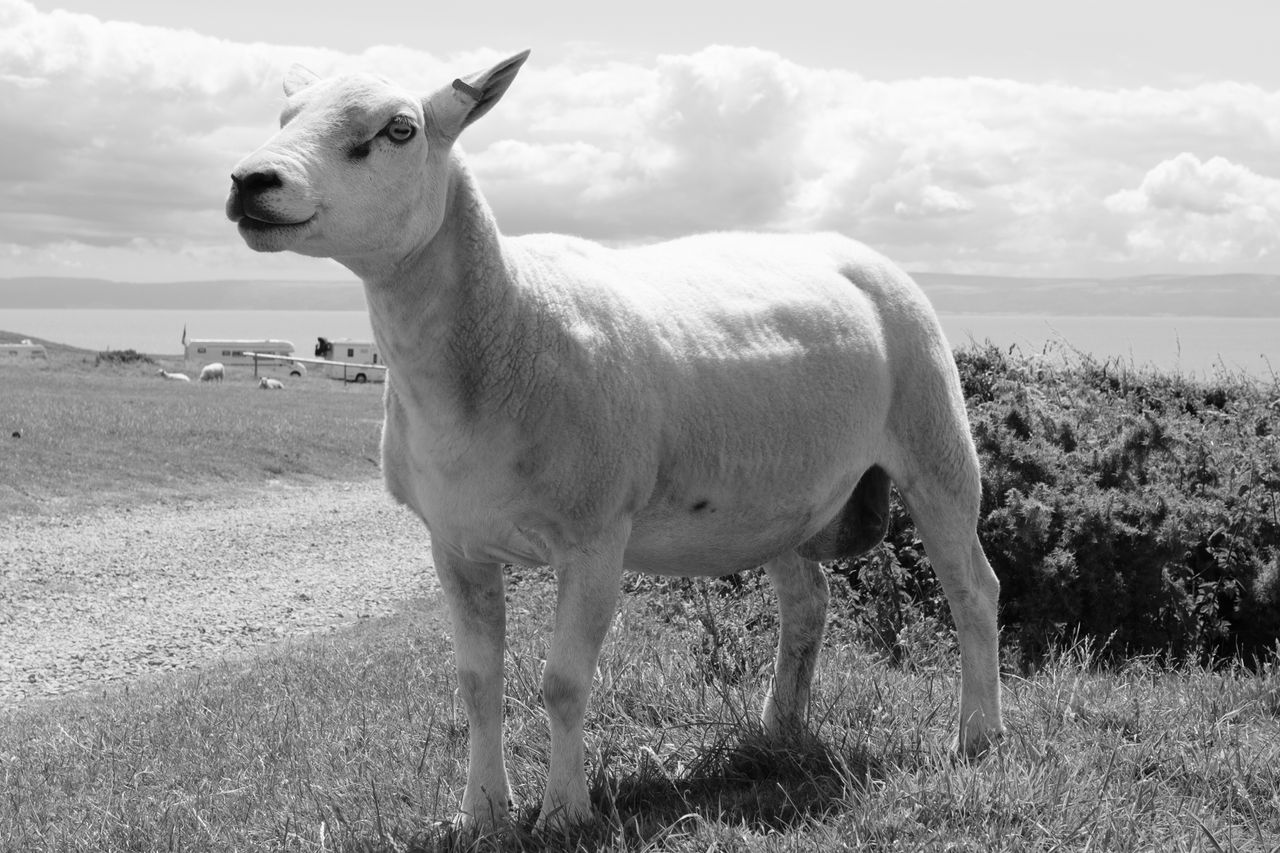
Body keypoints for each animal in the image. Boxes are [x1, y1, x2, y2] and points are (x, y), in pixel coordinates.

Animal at [227, 51, 1004, 831]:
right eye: (285, 117)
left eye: (399, 129)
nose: (249, 181)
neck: (508, 322)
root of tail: (856, 251)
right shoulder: (454, 541)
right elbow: (477, 683)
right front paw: (483, 811)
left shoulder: (595, 535)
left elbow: (564, 683)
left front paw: (565, 812)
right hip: (782, 496)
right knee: (808, 602)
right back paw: (779, 730)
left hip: (934, 435)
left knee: (974, 589)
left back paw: (977, 735)